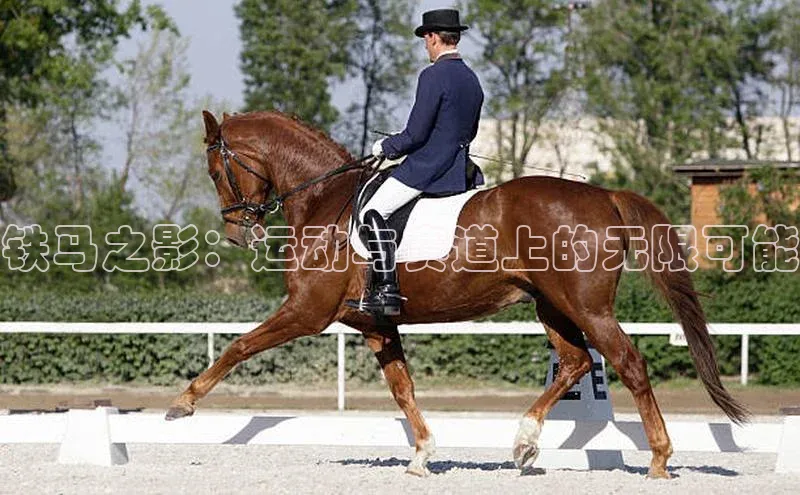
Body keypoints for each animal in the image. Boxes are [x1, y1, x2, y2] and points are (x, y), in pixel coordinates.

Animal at [166, 110, 749, 478]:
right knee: (576, 362)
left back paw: (658, 460)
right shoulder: (376, 324)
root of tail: (604, 195)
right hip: (552, 306)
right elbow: (403, 389)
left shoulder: (307, 312)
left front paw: (182, 404)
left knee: (627, 362)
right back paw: (524, 443)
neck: (325, 201)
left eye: (217, 170)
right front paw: (422, 456)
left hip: (585, 306)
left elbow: (239, 345)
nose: (238, 233)